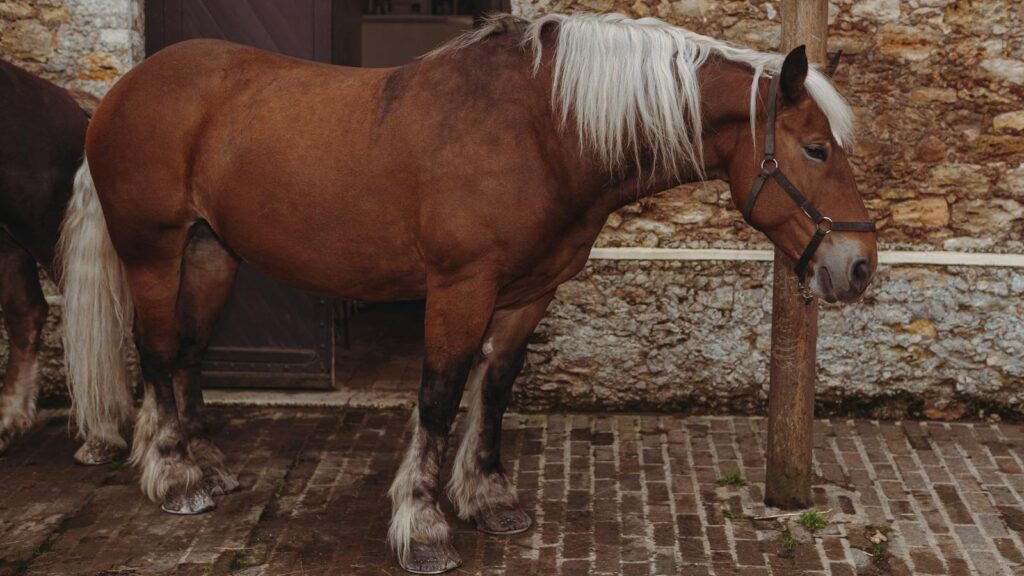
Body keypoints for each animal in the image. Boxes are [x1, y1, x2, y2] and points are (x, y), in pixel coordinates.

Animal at [59, 13, 877, 574]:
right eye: (814, 148)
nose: (860, 266)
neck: (543, 130)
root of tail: (123, 91)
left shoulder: (528, 292)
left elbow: (496, 388)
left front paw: (488, 498)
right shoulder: (460, 287)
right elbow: (440, 394)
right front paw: (422, 526)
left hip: (210, 255)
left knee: (187, 353)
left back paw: (206, 464)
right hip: (153, 252)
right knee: (156, 351)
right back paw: (174, 476)